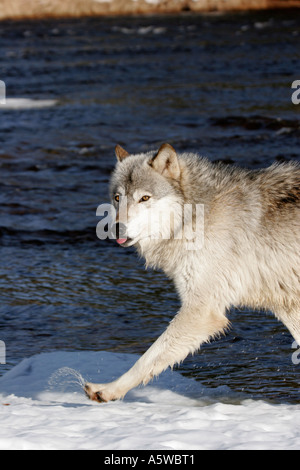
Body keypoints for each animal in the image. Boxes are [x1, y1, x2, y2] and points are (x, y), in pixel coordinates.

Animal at [84, 144, 300, 404]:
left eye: (144, 198)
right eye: (118, 198)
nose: (115, 228)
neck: (195, 217)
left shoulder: (202, 311)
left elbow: (148, 357)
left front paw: (108, 390)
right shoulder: (286, 305)